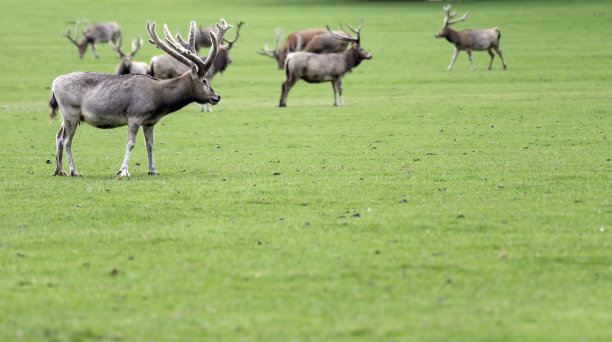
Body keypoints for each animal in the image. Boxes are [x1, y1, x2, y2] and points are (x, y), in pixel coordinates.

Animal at [47, 19, 233, 178]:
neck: (158, 99)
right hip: (71, 112)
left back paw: (59, 170)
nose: (216, 96)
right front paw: (123, 171)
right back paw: (74, 171)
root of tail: (54, 83)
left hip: (67, 115)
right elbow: (130, 143)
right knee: (66, 140)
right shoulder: (135, 116)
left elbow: (150, 144)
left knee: (58, 136)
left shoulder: (149, 122)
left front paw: (153, 170)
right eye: (204, 80)